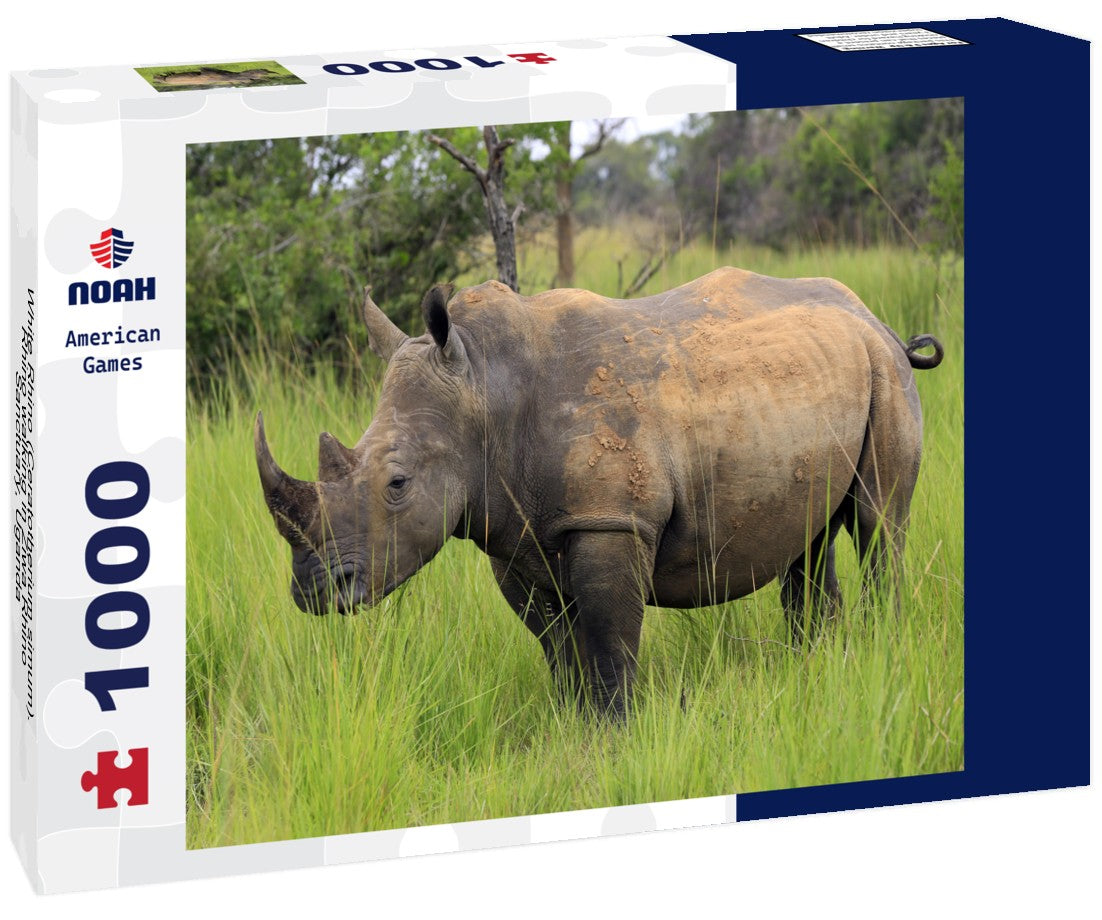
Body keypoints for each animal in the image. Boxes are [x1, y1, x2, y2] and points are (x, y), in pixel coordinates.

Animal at [255, 267, 944, 717]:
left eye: (396, 485)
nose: (314, 591)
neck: (485, 391)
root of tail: (876, 319)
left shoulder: (611, 519)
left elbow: (610, 644)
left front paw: (617, 734)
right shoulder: (514, 535)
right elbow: (559, 648)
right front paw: (574, 727)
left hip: (884, 371)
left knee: (880, 524)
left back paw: (880, 652)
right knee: (809, 538)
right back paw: (815, 666)